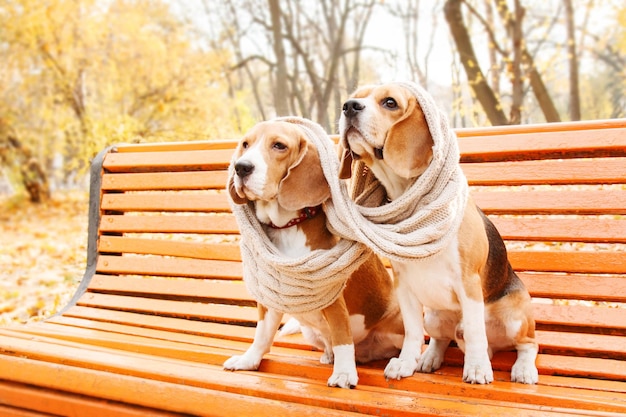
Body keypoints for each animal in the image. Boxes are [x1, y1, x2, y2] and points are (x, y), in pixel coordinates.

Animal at [222, 119, 402, 386]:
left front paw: (344, 373)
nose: (241, 167)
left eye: (279, 145)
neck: (288, 227)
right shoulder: (273, 297)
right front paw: (249, 360)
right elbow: (262, 335)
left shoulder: (335, 301)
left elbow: (342, 338)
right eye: (245, 144)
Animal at [336, 82, 536, 384]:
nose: (348, 107)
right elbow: (412, 332)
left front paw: (477, 368)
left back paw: (523, 368)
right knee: (441, 339)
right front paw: (406, 362)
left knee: (527, 344)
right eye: (354, 97)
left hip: (514, 316)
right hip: (433, 316)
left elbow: (476, 333)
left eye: (390, 103)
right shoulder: (404, 286)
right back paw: (429, 358)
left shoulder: (468, 282)